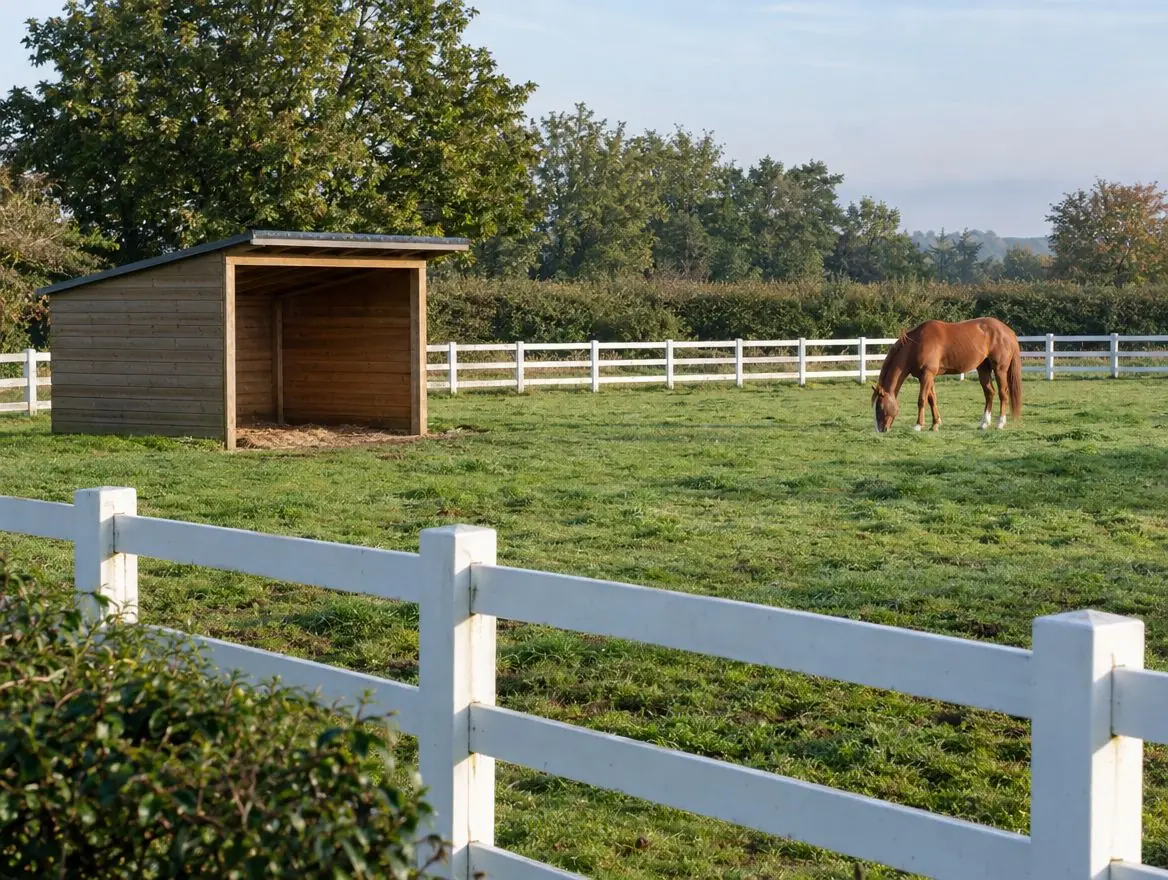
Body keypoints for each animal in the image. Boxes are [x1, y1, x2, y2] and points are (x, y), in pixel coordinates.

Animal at [871, 317, 1023, 433]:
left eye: (880, 407)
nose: (880, 430)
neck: (917, 343)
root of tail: (1008, 331)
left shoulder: (927, 374)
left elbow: (922, 400)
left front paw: (918, 425)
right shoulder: (926, 377)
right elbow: (932, 399)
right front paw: (935, 424)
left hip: (1000, 369)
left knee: (1003, 393)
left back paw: (1000, 423)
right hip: (983, 369)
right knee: (989, 393)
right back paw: (984, 423)